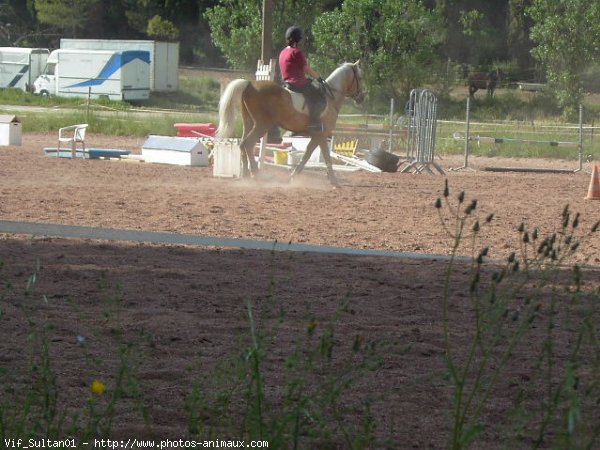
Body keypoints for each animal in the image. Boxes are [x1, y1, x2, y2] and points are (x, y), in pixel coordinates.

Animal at [217, 60, 366, 186]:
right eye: (360, 77)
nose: (361, 97)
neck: (331, 98)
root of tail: (249, 84)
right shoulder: (321, 135)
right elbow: (323, 155)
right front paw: (334, 180)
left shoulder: (317, 136)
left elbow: (309, 154)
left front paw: (294, 175)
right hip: (262, 125)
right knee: (248, 144)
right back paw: (257, 174)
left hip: (248, 122)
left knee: (242, 144)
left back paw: (246, 175)